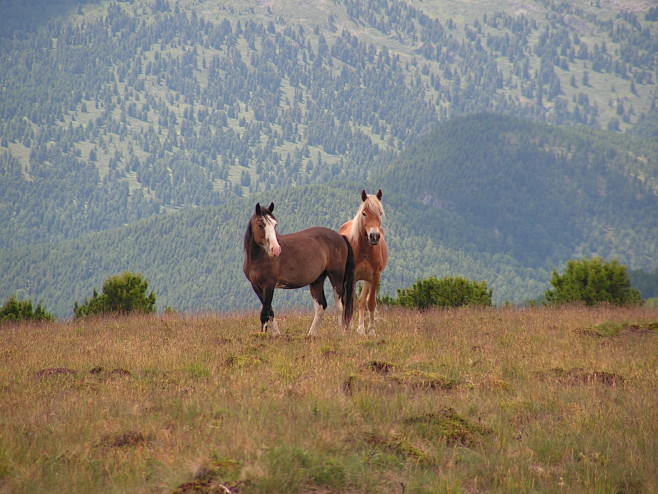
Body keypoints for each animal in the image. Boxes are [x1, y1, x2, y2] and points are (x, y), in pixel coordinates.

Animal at [242, 202, 354, 336]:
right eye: (260, 225)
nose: (275, 250)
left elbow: (264, 313)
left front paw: (263, 336)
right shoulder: (256, 287)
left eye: (275, 224)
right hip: (317, 280)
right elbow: (270, 312)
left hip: (336, 276)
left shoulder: (269, 285)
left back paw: (341, 333)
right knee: (321, 306)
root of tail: (341, 237)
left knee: (339, 307)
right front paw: (276, 334)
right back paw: (310, 334)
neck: (259, 257)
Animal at [340, 189, 386, 336]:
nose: (374, 236)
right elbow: (350, 302)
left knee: (361, 301)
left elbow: (370, 302)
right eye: (364, 213)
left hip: (366, 279)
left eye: (380, 213)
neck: (364, 249)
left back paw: (361, 328)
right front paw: (347, 328)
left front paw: (370, 330)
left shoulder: (375, 276)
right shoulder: (352, 277)